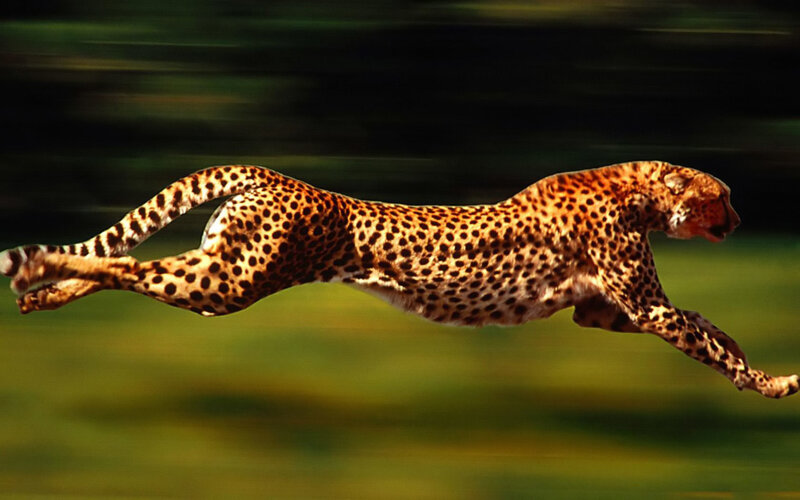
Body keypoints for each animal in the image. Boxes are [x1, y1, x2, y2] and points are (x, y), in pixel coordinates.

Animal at [1, 160, 797, 398]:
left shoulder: (600, 312)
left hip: (217, 271)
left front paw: (752, 363)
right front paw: (772, 383)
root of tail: (271, 173)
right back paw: (39, 268)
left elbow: (706, 325)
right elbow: (702, 335)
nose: (740, 215)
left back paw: (44, 290)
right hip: (231, 282)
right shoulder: (641, 308)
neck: (638, 188)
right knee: (129, 264)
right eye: (723, 194)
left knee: (131, 267)